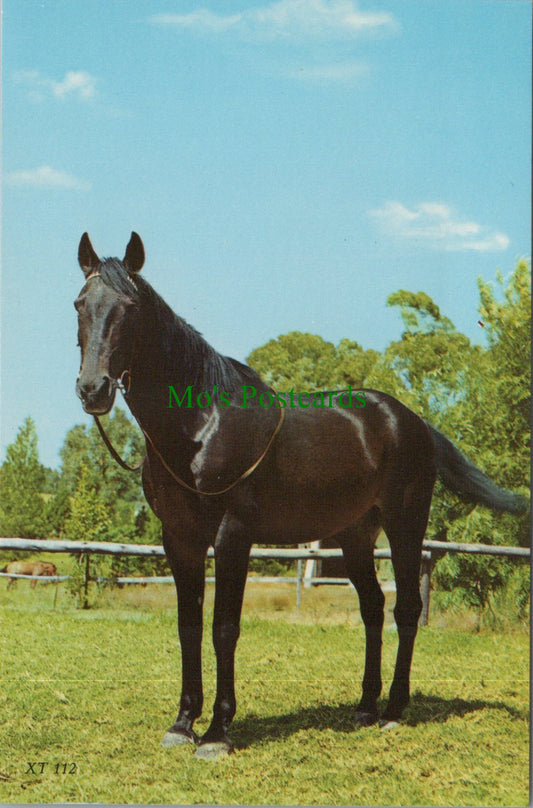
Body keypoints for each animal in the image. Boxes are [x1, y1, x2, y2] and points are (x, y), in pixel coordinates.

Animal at [74, 232, 527, 760]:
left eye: (129, 308)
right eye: (80, 304)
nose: (93, 389)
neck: (199, 425)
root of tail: (412, 422)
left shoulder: (232, 536)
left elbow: (223, 628)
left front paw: (217, 733)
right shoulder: (179, 538)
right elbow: (189, 625)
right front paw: (183, 724)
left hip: (405, 523)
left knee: (406, 608)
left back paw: (394, 711)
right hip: (355, 535)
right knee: (373, 608)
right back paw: (365, 708)